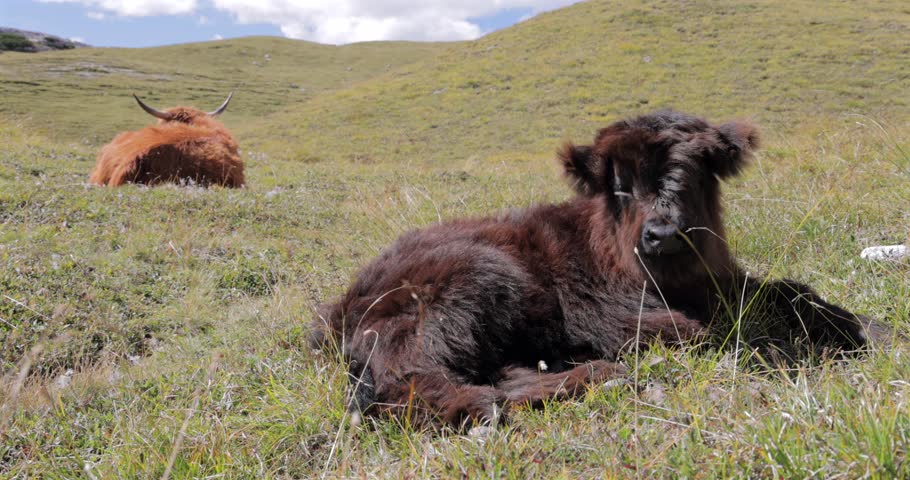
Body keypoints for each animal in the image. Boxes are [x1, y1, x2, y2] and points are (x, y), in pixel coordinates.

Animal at [312, 110, 888, 427]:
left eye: (700, 170)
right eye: (619, 182)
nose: (663, 234)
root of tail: (335, 313)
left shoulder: (727, 283)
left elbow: (792, 293)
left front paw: (873, 329)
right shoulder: (617, 317)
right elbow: (704, 334)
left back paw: (586, 376)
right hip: (470, 281)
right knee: (409, 381)